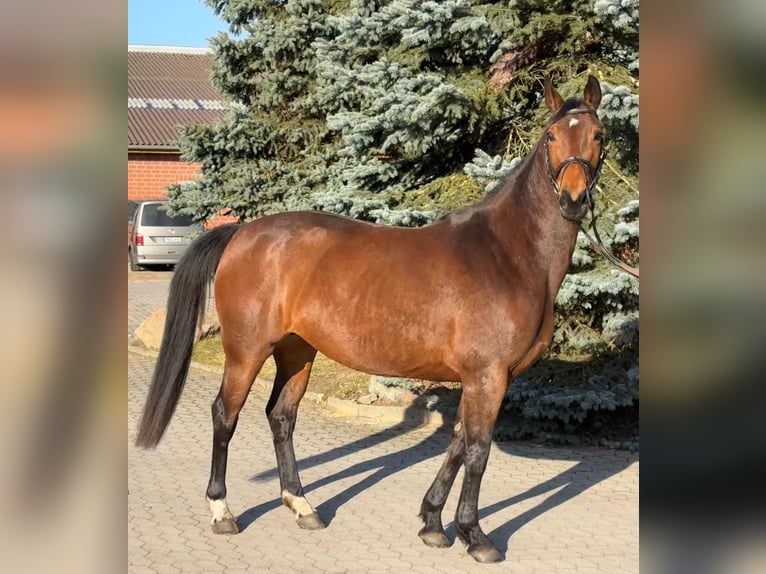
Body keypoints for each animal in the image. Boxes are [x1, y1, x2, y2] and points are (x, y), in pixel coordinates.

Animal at [135, 75, 605, 563]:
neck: (507, 253)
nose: (573, 200)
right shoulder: (488, 375)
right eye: (551, 137)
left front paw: (432, 523)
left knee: (281, 417)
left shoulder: (480, 379)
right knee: (225, 416)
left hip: (297, 352)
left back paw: (302, 506)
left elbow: (457, 443)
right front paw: (475, 536)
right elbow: (477, 451)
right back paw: (222, 511)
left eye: (598, 136)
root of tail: (242, 232)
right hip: (246, 351)